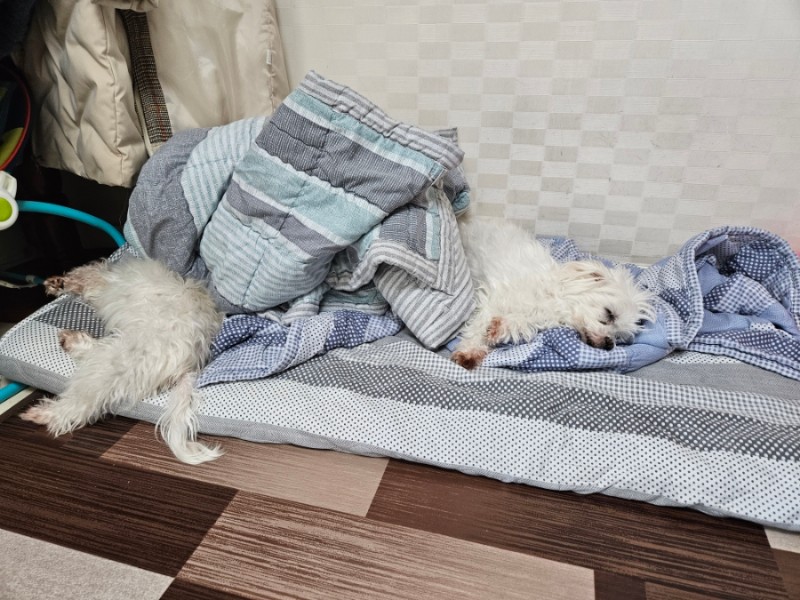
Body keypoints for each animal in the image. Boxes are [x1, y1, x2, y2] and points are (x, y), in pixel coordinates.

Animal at [20, 257, 225, 464]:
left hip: (118, 361)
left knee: (80, 405)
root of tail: (192, 363)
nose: (52, 283)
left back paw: (42, 413)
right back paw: (72, 341)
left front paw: (59, 284)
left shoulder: (97, 285)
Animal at [452, 216, 655, 369]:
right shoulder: (495, 299)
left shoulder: (535, 316)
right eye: (609, 314)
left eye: (619, 336)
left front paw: (499, 328)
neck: (554, 299)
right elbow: (478, 325)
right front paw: (469, 351)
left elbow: (521, 325)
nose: (609, 344)